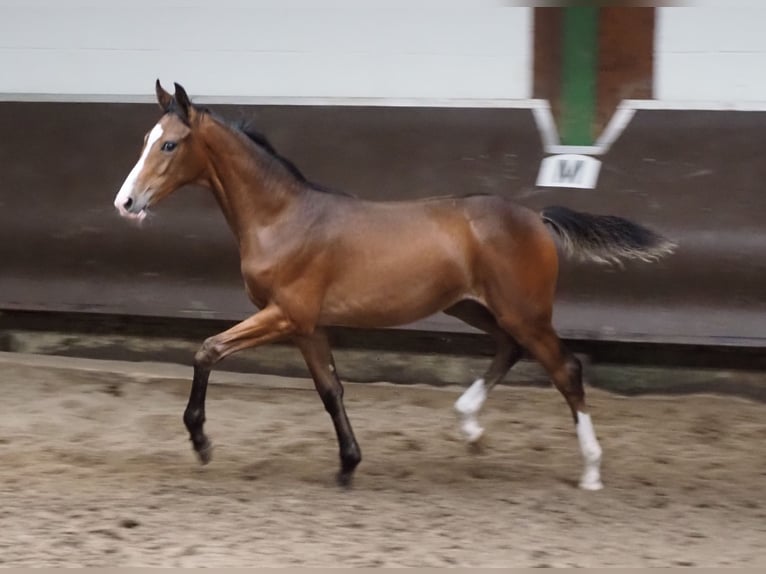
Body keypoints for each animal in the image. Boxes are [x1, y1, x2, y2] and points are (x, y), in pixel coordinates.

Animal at [114, 83, 680, 492]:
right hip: (472, 307)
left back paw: (591, 471)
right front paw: (348, 466)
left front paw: (201, 442)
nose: (126, 202)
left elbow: (207, 350)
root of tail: (536, 218)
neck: (283, 218)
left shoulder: (286, 314)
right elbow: (330, 390)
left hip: (524, 310)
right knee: (510, 348)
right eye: (143, 140)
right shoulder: (306, 325)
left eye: (169, 143)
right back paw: (470, 427)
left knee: (566, 369)